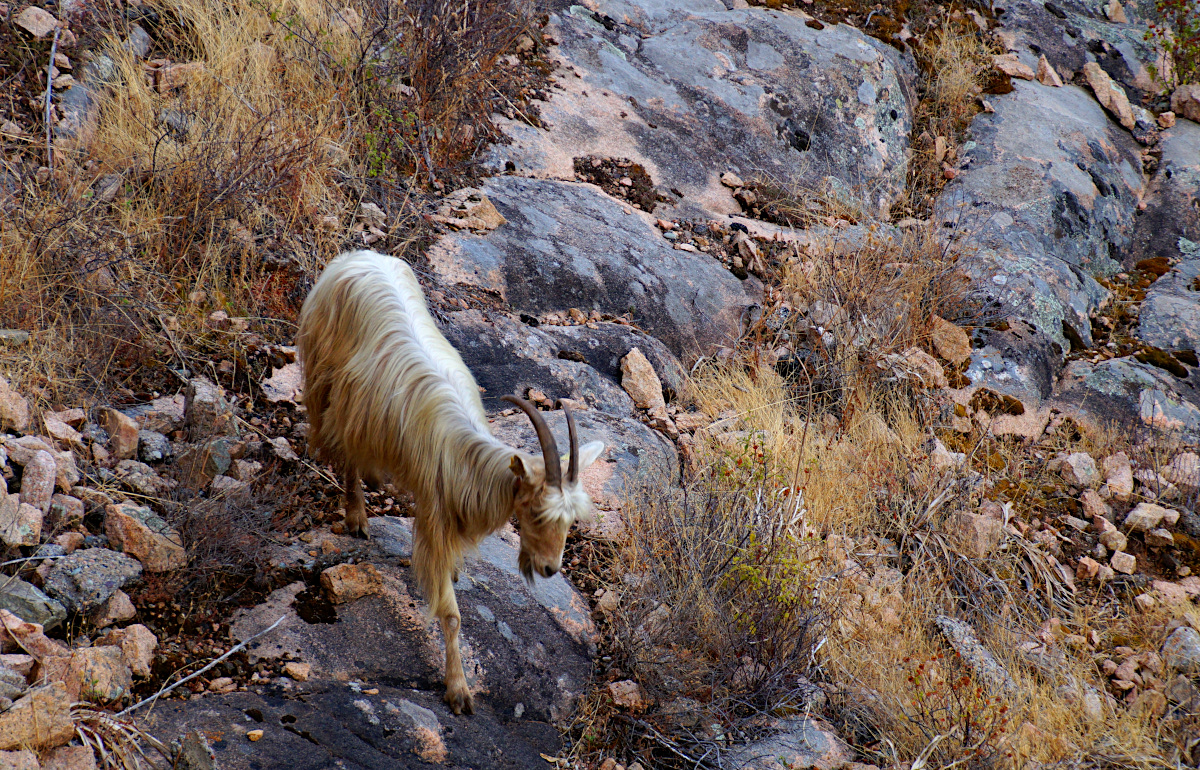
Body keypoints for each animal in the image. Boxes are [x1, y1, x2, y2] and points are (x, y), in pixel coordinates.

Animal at [295, 249, 604, 710]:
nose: (551, 569)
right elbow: (453, 615)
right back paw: (356, 517)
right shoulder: (435, 515)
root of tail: (358, 256)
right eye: (534, 512)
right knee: (346, 449)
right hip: (331, 382)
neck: (464, 455)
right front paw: (458, 688)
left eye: (570, 521)